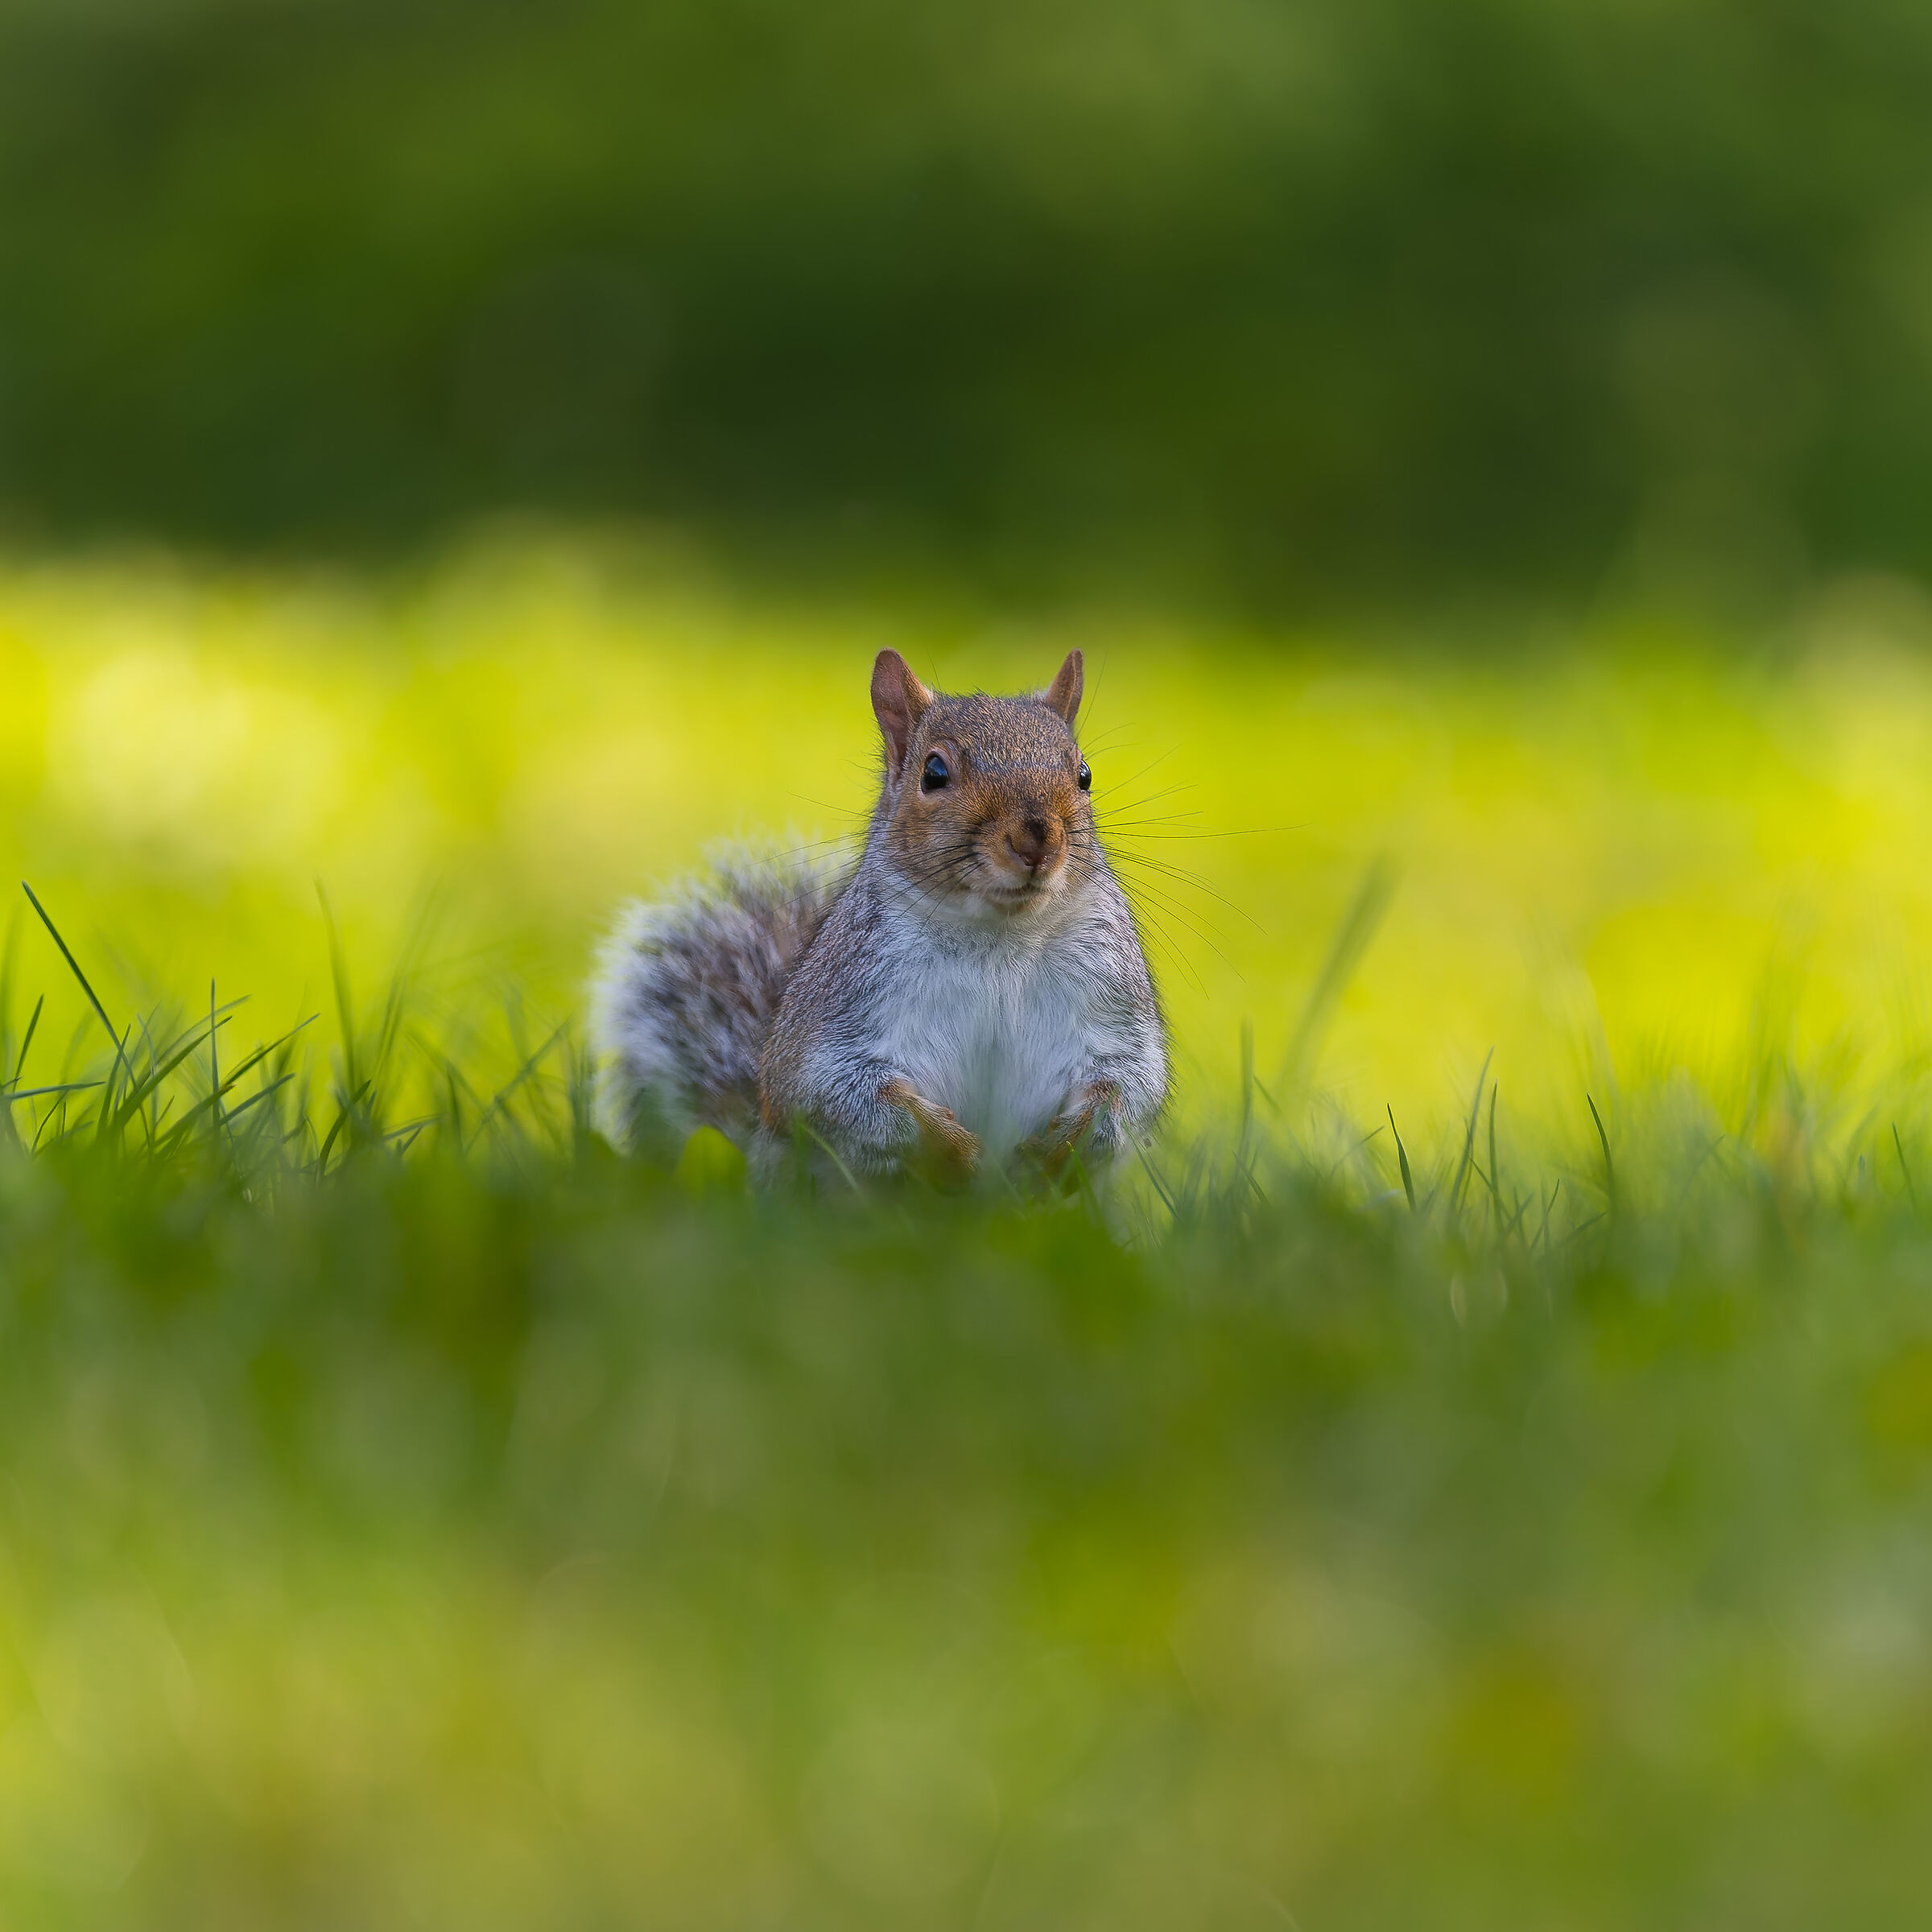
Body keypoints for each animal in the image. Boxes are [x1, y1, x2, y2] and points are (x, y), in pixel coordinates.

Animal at [593, 648, 1167, 1184]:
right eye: (934, 773)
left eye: (1084, 775)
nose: (1036, 840)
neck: (999, 935)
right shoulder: (839, 1009)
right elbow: (835, 1092)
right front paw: (951, 1147)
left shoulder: (1111, 1000)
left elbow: (1127, 1084)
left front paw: (1066, 1144)